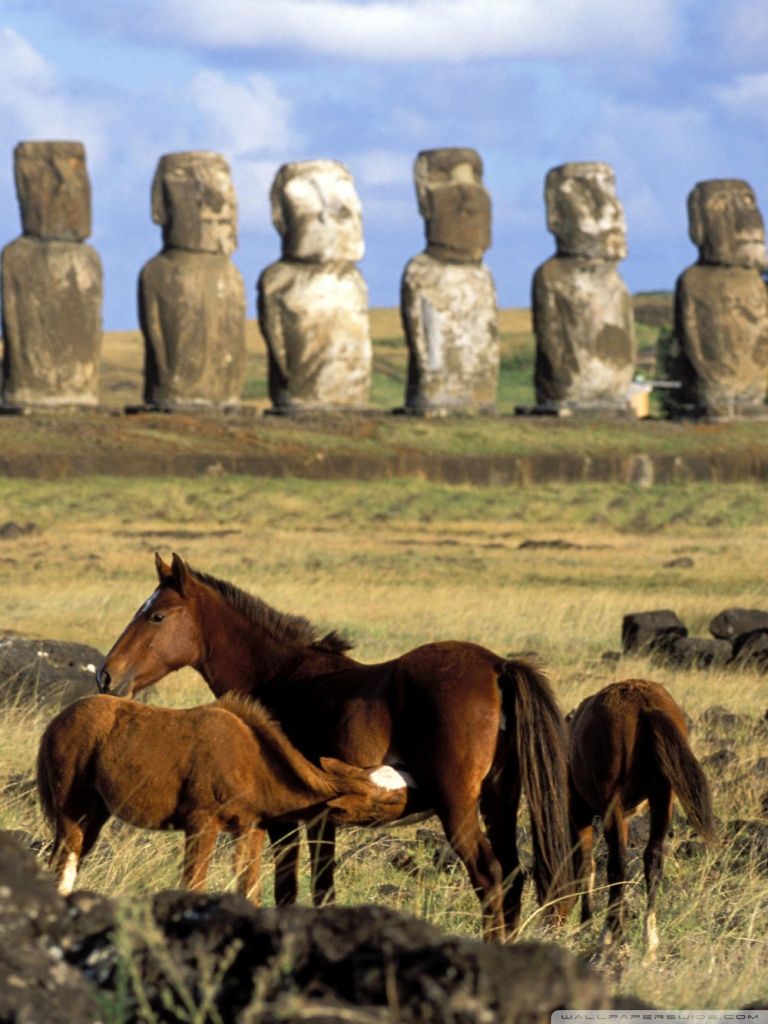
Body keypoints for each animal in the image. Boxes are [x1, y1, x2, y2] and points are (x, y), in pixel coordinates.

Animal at [36, 692, 408, 899]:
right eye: (389, 800)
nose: (417, 798)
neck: (252, 763)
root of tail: (55, 722)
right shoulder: (201, 823)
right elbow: (194, 884)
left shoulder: (251, 828)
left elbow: (250, 889)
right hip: (71, 808)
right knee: (65, 862)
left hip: (96, 812)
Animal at [95, 552, 574, 942]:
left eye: (157, 616)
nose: (106, 675)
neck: (278, 677)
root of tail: (498, 666)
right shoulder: (321, 819)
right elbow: (322, 889)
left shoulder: (284, 821)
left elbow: (287, 889)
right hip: (499, 801)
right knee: (511, 878)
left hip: (457, 807)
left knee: (490, 878)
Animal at [568, 679, 717, 959]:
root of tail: (645, 705)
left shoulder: (581, 812)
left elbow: (586, 866)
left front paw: (586, 924)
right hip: (662, 797)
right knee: (653, 859)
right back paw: (650, 944)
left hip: (614, 802)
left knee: (618, 864)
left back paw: (612, 935)